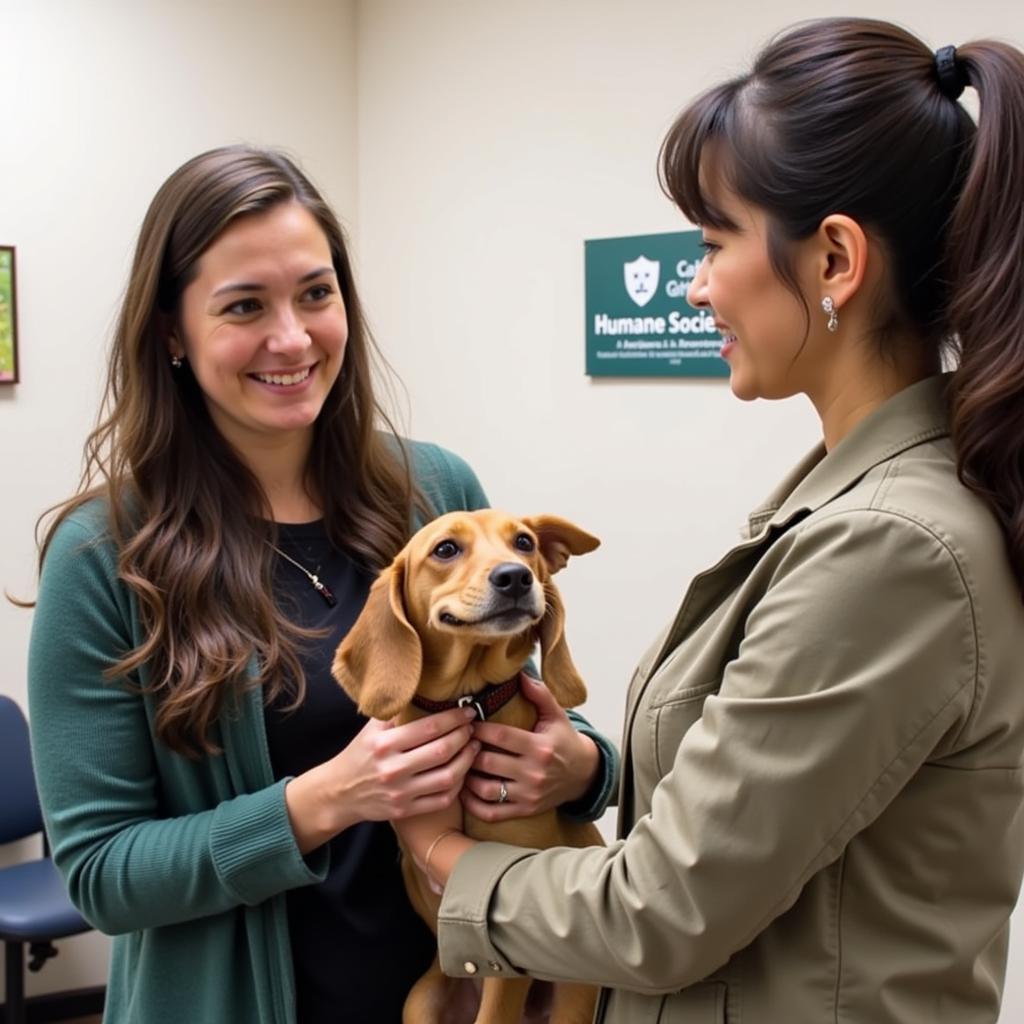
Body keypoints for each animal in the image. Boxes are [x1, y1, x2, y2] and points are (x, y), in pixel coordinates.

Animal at [331, 509, 602, 1024]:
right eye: (445, 549)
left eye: (524, 542)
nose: (515, 577)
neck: (468, 702)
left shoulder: (507, 925)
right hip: (421, 999)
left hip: (572, 1000)